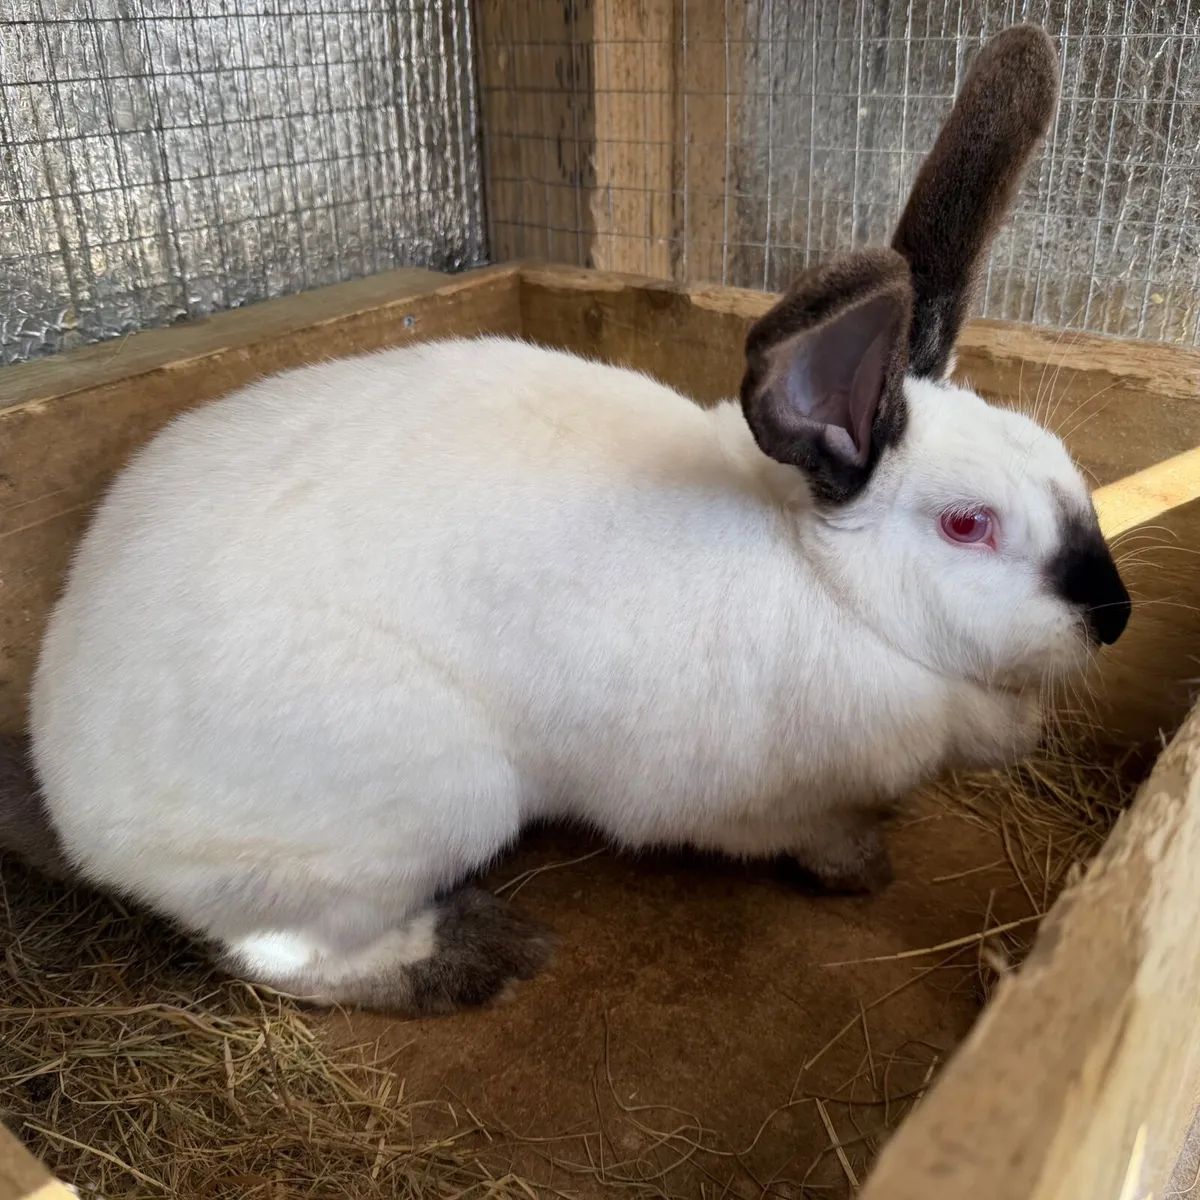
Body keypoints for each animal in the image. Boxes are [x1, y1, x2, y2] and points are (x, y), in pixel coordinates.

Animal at [3, 24, 1129, 1016]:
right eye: (967, 525)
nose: (1112, 616)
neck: (826, 586)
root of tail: (73, 797)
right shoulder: (764, 802)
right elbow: (811, 834)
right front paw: (858, 868)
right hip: (423, 807)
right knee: (278, 958)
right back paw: (475, 958)